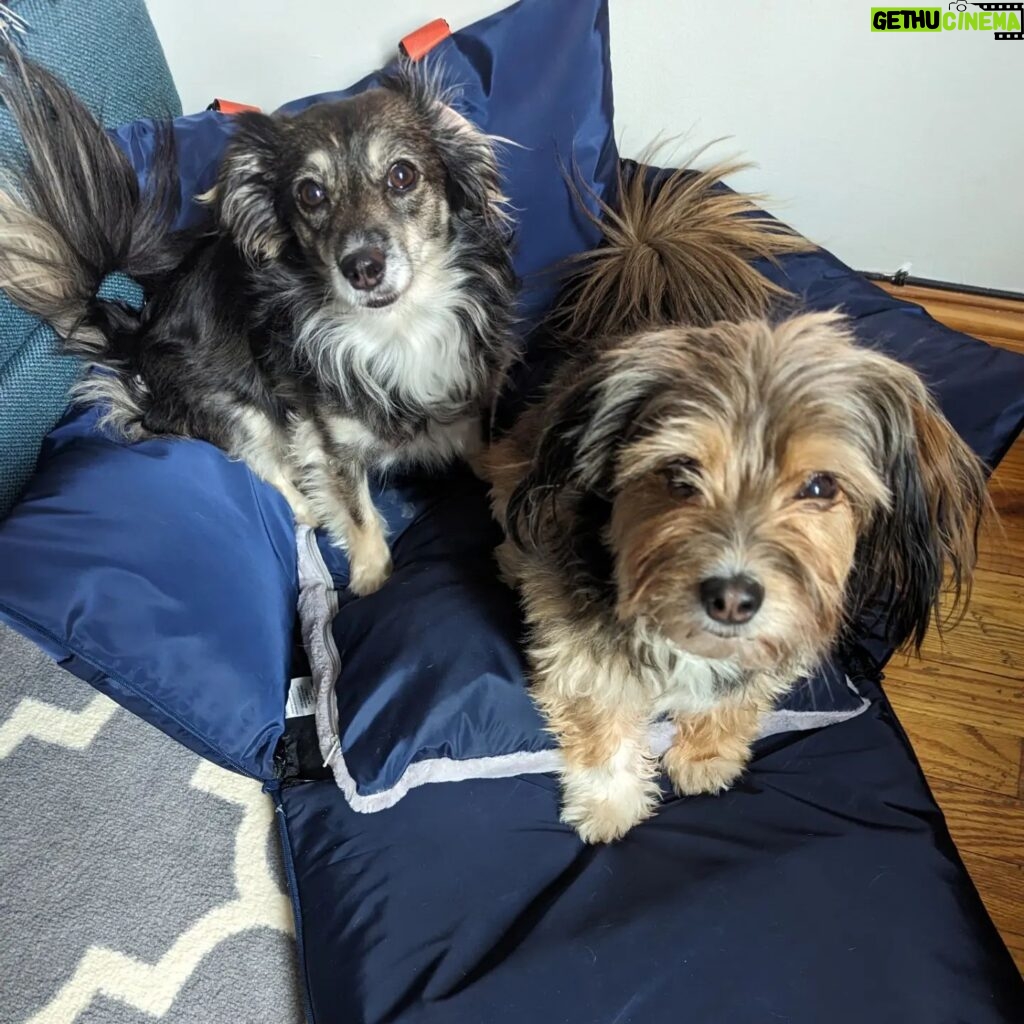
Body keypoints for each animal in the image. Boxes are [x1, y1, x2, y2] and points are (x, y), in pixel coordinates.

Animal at [487, 163, 991, 843]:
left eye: (820, 486)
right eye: (679, 472)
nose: (731, 598)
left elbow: (736, 698)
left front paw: (706, 757)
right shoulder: (580, 659)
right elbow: (604, 728)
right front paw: (610, 804)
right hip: (513, 468)